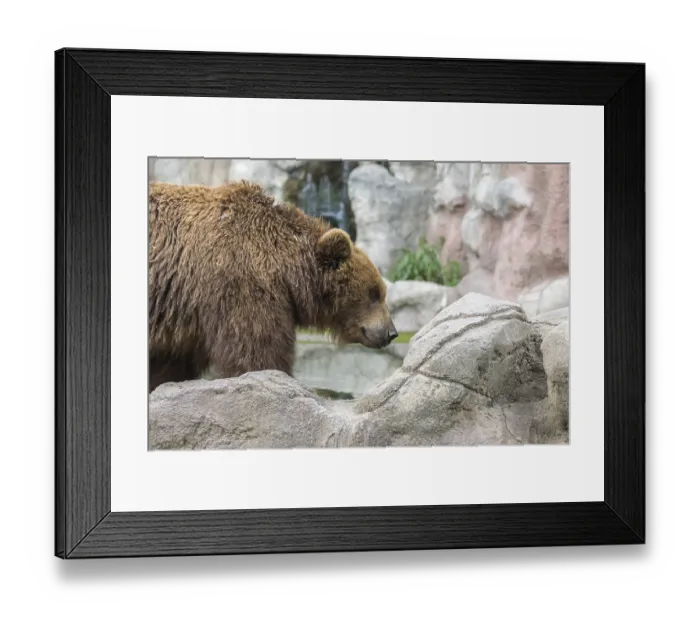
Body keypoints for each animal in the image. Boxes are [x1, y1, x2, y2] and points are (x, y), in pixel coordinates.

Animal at [148, 180, 398, 392]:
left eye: (381, 292)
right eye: (374, 294)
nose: (391, 332)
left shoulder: (181, 318)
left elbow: (170, 365)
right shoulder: (242, 282)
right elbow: (256, 350)